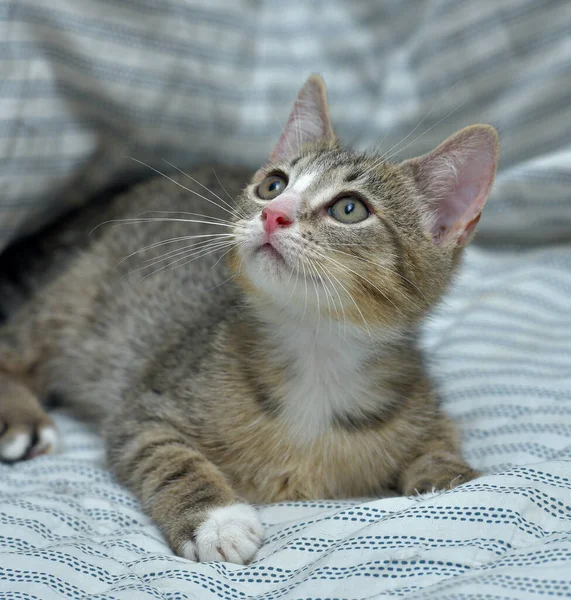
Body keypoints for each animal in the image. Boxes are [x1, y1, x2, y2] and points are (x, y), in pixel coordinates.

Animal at [0, 75, 500, 564]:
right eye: (273, 185)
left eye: (349, 208)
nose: (273, 214)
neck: (316, 353)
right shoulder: (145, 408)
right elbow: (167, 457)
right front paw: (216, 521)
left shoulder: (420, 403)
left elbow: (440, 441)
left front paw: (450, 477)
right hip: (73, 295)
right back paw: (23, 420)